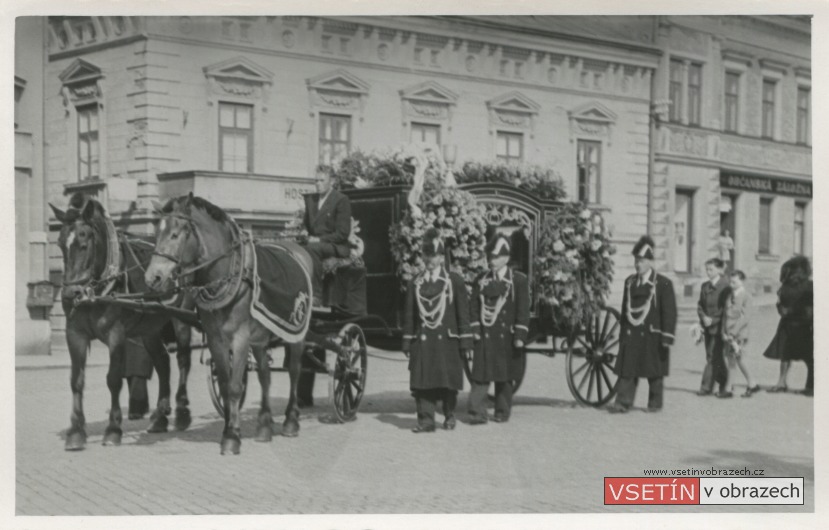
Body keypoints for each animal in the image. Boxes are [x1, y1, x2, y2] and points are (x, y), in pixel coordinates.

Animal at [49, 192, 195, 448]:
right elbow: (76, 380)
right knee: (163, 362)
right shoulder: (74, 334)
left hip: (181, 319)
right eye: (60, 244)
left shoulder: (115, 334)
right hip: (150, 328)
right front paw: (76, 431)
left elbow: (114, 379)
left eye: (84, 244)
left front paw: (113, 428)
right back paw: (159, 417)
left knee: (183, 361)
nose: (69, 295)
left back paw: (182, 412)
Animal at [142, 194, 310, 454]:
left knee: (294, 371)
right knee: (265, 374)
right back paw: (264, 424)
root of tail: (297, 249)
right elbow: (224, 383)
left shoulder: (240, 338)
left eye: (175, 234)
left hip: (296, 334)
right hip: (261, 338)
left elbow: (234, 387)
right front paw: (229, 427)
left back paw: (291, 420)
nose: (152, 278)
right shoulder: (216, 339)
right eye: (157, 234)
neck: (228, 273)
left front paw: (232, 436)